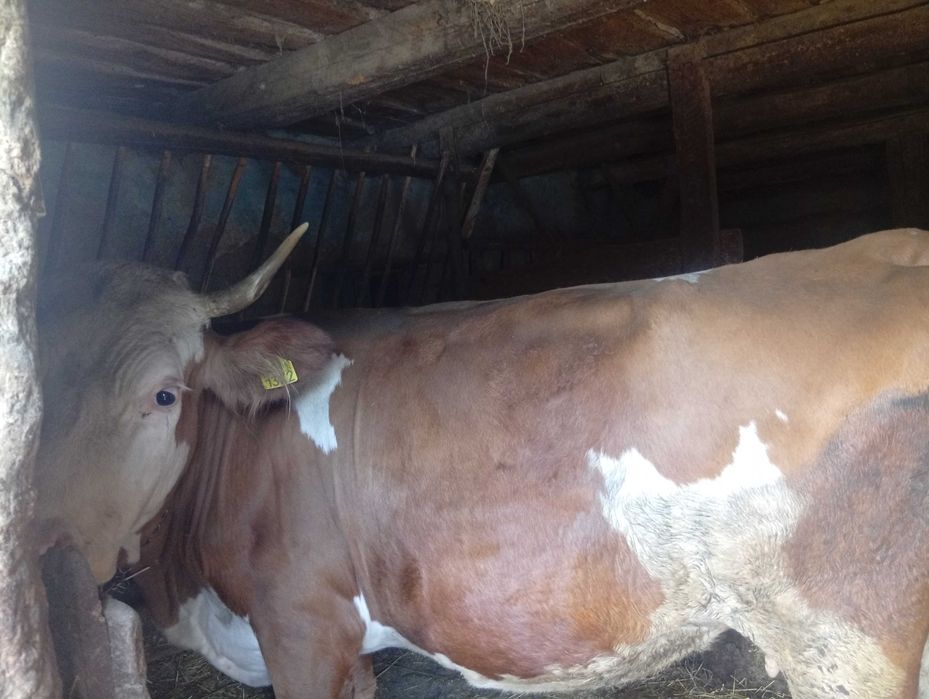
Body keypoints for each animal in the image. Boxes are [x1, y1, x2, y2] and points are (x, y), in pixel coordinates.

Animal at [35, 226, 929, 698]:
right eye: (32, 389)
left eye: (164, 394)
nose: (53, 547)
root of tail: (891, 247)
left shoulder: (302, 625)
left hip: (841, 644)